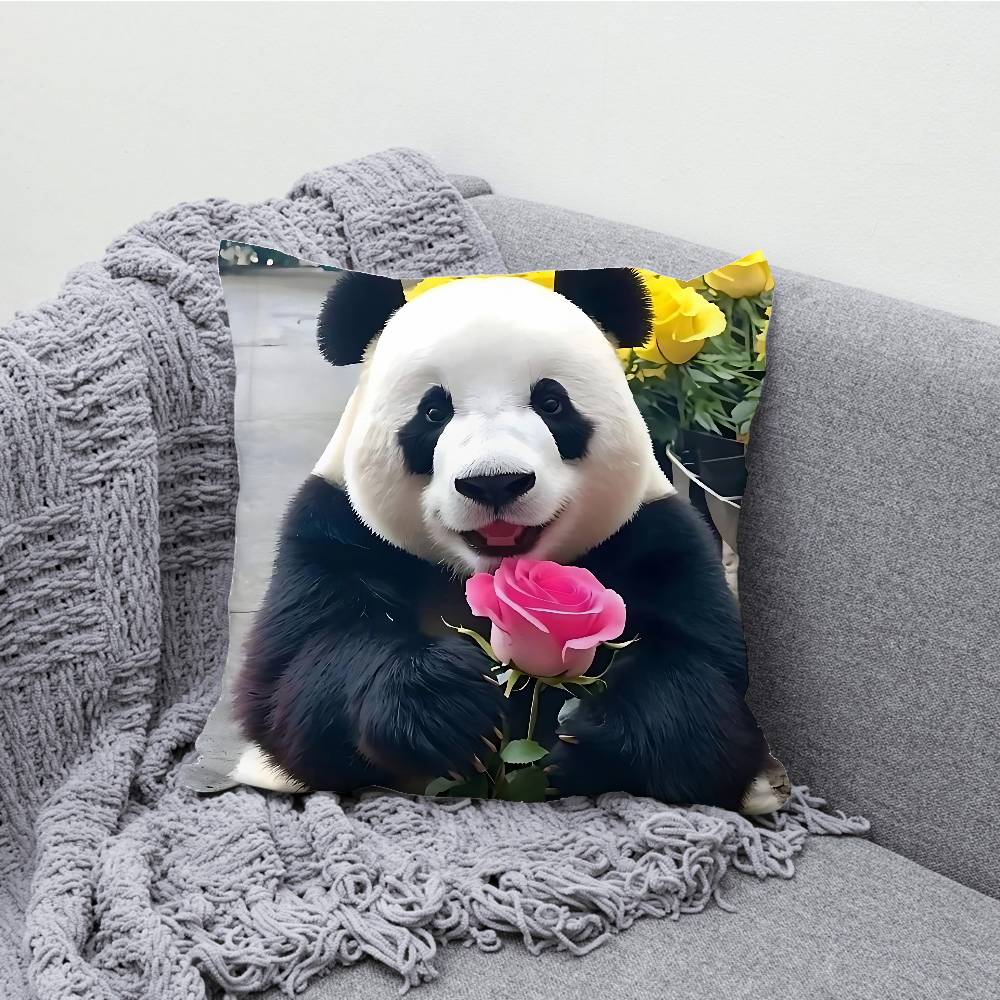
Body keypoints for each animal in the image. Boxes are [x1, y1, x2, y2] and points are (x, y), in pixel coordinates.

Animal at [231, 267, 789, 814]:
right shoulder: (332, 530)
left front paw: (590, 736)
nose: (494, 482)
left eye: (551, 402)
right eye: (433, 413)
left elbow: (714, 694)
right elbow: (292, 683)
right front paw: (444, 705)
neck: (482, 573)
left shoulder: (656, 535)